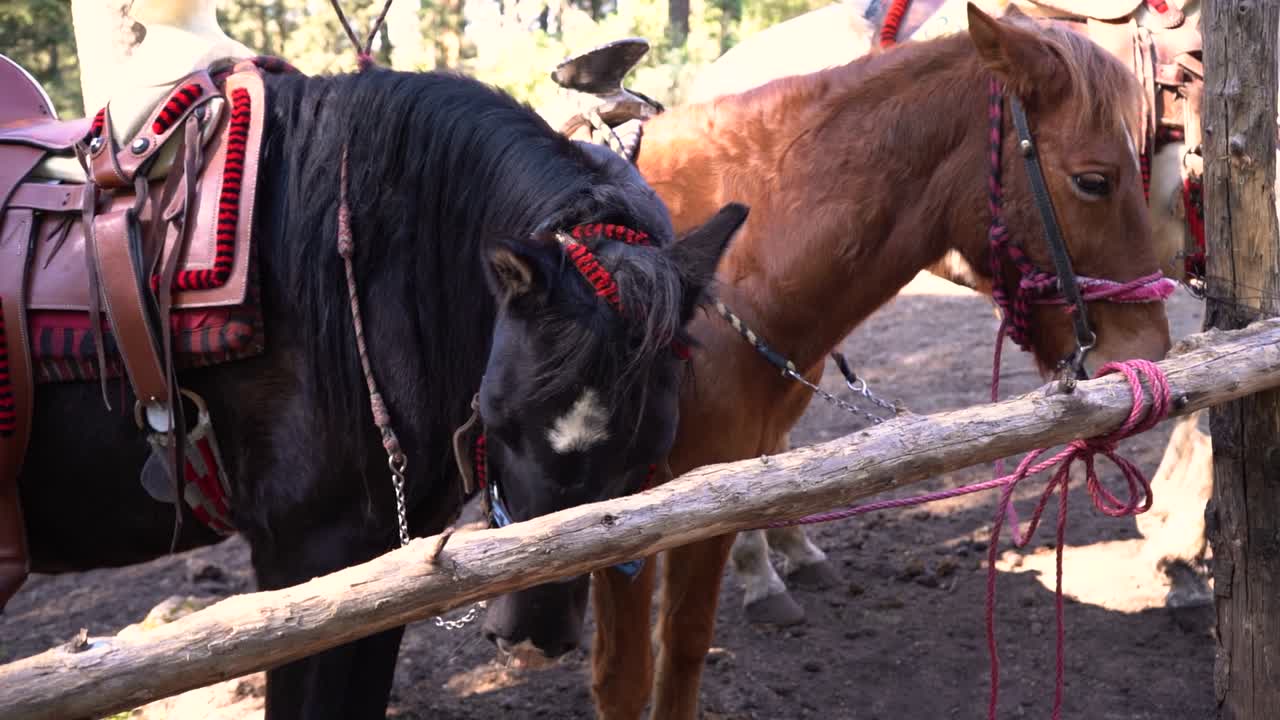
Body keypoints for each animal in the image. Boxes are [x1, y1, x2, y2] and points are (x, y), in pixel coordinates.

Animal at [8, 66, 747, 719]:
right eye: (503, 421)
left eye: (647, 447)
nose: (532, 632)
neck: (357, 272)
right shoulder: (302, 561)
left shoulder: (381, 567)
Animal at [487, 6, 1175, 718]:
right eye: (1094, 180)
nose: (1146, 352)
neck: (727, 276)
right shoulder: (621, 523)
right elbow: (624, 677)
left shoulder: (706, 504)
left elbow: (682, 648)